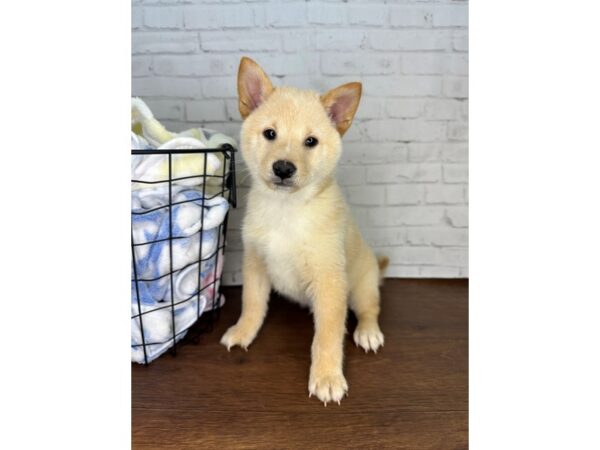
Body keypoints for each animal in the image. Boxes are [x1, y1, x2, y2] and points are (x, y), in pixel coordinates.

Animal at [221, 56, 390, 404]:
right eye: (270, 133)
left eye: (310, 141)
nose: (284, 168)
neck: (286, 210)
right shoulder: (255, 264)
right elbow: (251, 304)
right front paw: (244, 331)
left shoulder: (329, 282)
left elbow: (327, 336)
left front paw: (327, 377)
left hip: (362, 283)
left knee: (370, 308)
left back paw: (368, 332)